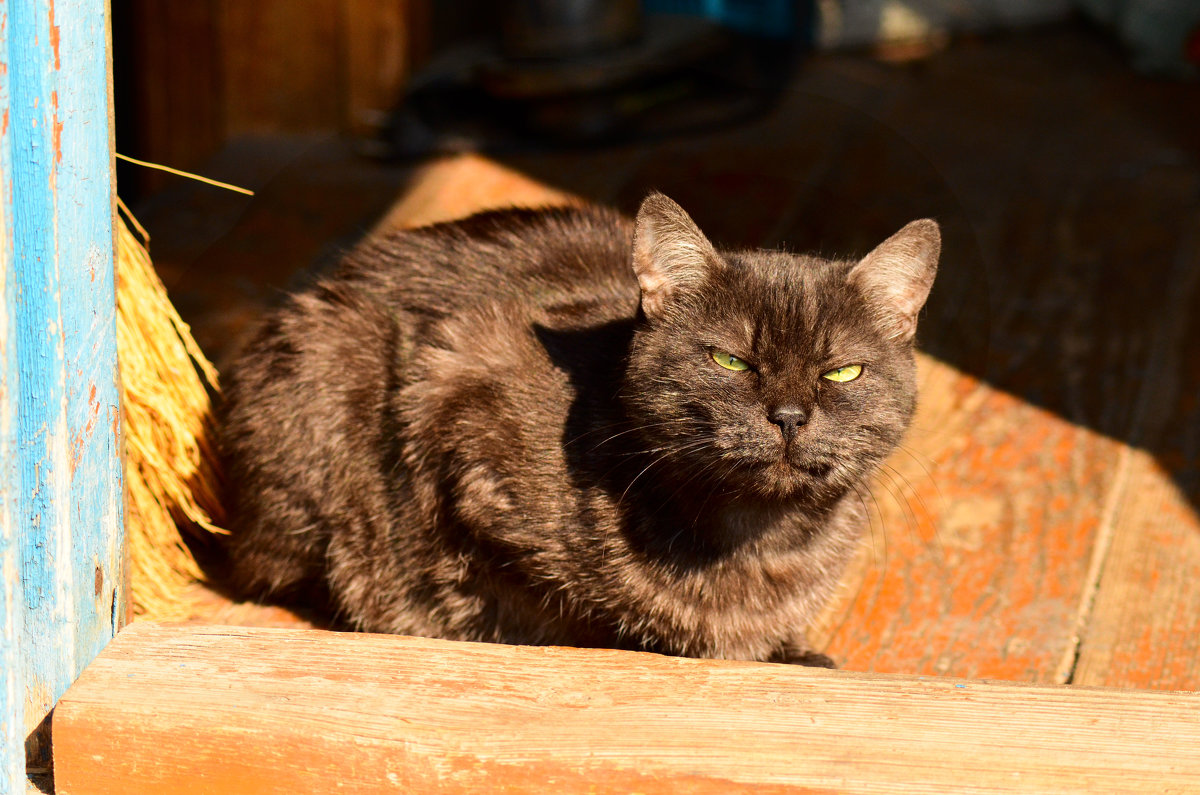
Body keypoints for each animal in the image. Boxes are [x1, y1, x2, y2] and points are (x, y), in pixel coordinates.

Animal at [218, 192, 936, 667]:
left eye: (843, 371)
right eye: (730, 360)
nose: (788, 415)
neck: (760, 539)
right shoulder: (461, 410)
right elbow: (564, 615)